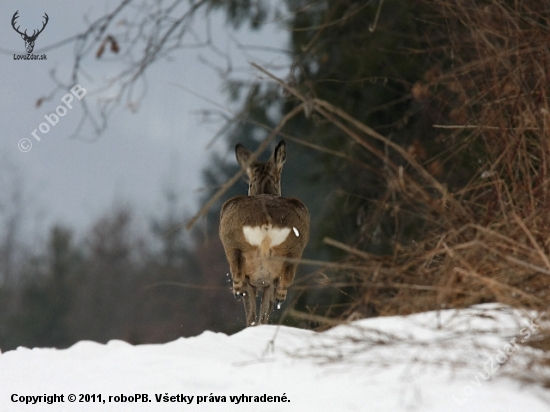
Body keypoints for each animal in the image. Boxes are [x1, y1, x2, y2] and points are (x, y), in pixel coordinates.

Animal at [222, 140, 312, 326]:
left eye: (249, 183)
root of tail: (265, 219)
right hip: (293, 249)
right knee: (283, 281)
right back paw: (279, 298)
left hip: (233, 243)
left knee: (239, 276)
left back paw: (237, 291)